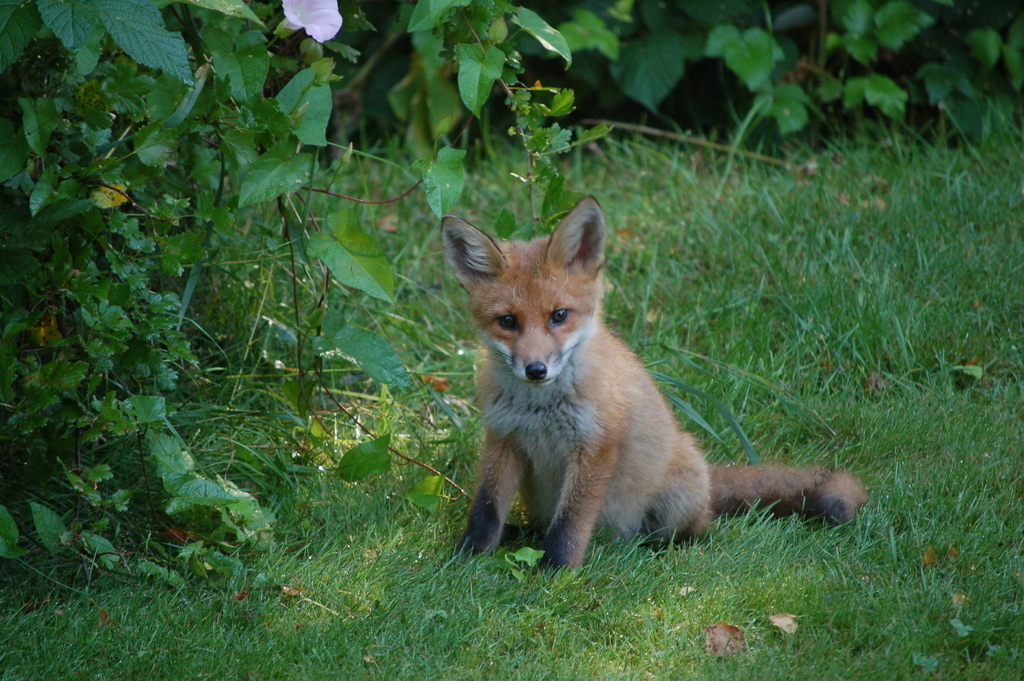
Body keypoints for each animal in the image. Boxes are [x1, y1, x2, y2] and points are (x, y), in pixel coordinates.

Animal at [441, 196, 867, 569]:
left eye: (559, 315)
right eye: (508, 321)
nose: (535, 370)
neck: (539, 410)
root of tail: (707, 477)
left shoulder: (596, 446)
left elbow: (571, 522)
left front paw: (556, 571)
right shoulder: (503, 438)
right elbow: (486, 509)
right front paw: (467, 559)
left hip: (676, 496)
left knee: (698, 527)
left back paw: (657, 546)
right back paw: (518, 534)